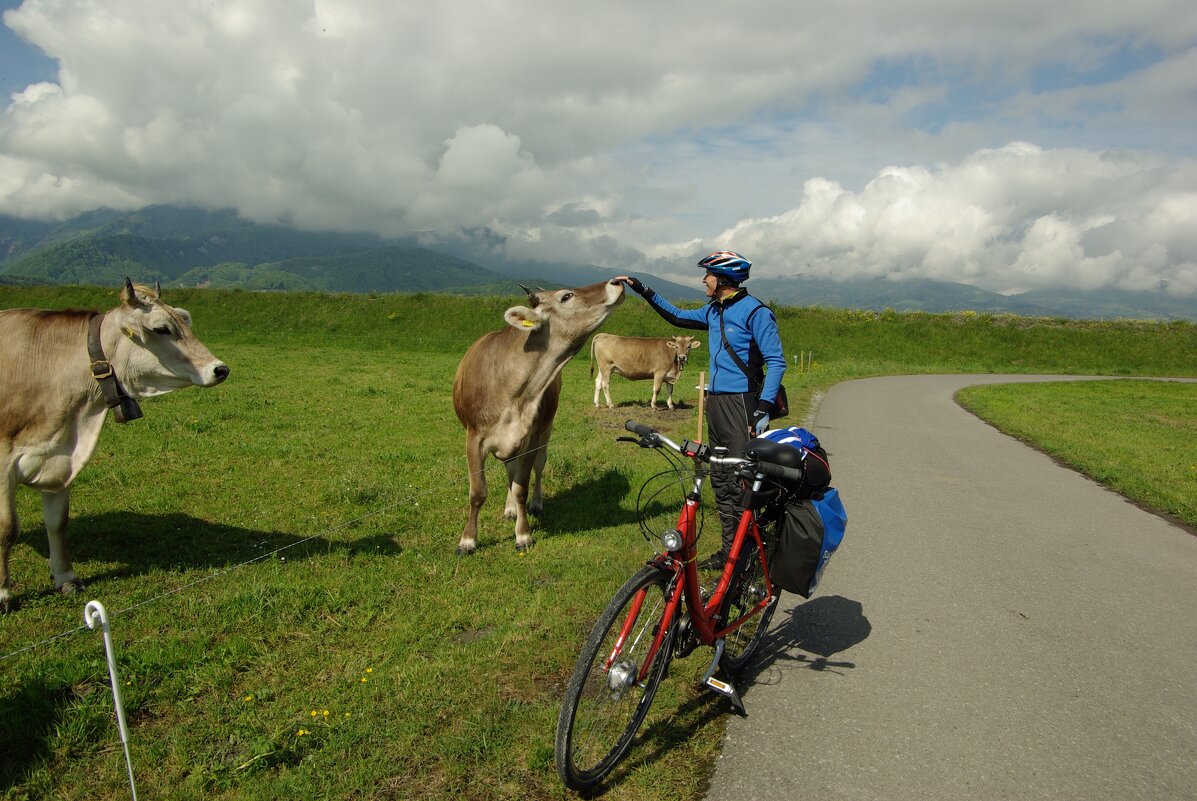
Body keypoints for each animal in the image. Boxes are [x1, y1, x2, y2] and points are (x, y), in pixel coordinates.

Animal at [0, 277, 228, 608]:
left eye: (184, 320)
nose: (220, 368)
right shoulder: (4, 462)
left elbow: (57, 522)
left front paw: (66, 578)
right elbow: (7, 528)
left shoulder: (61, 458)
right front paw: (4, 593)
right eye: (162, 329)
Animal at [450, 277, 627, 553]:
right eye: (566, 296)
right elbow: (478, 492)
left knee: (537, 467)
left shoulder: (530, 438)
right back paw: (509, 509)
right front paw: (468, 540)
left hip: (546, 429)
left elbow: (521, 487)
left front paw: (523, 534)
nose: (617, 282)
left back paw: (533, 504)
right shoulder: (473, 438)